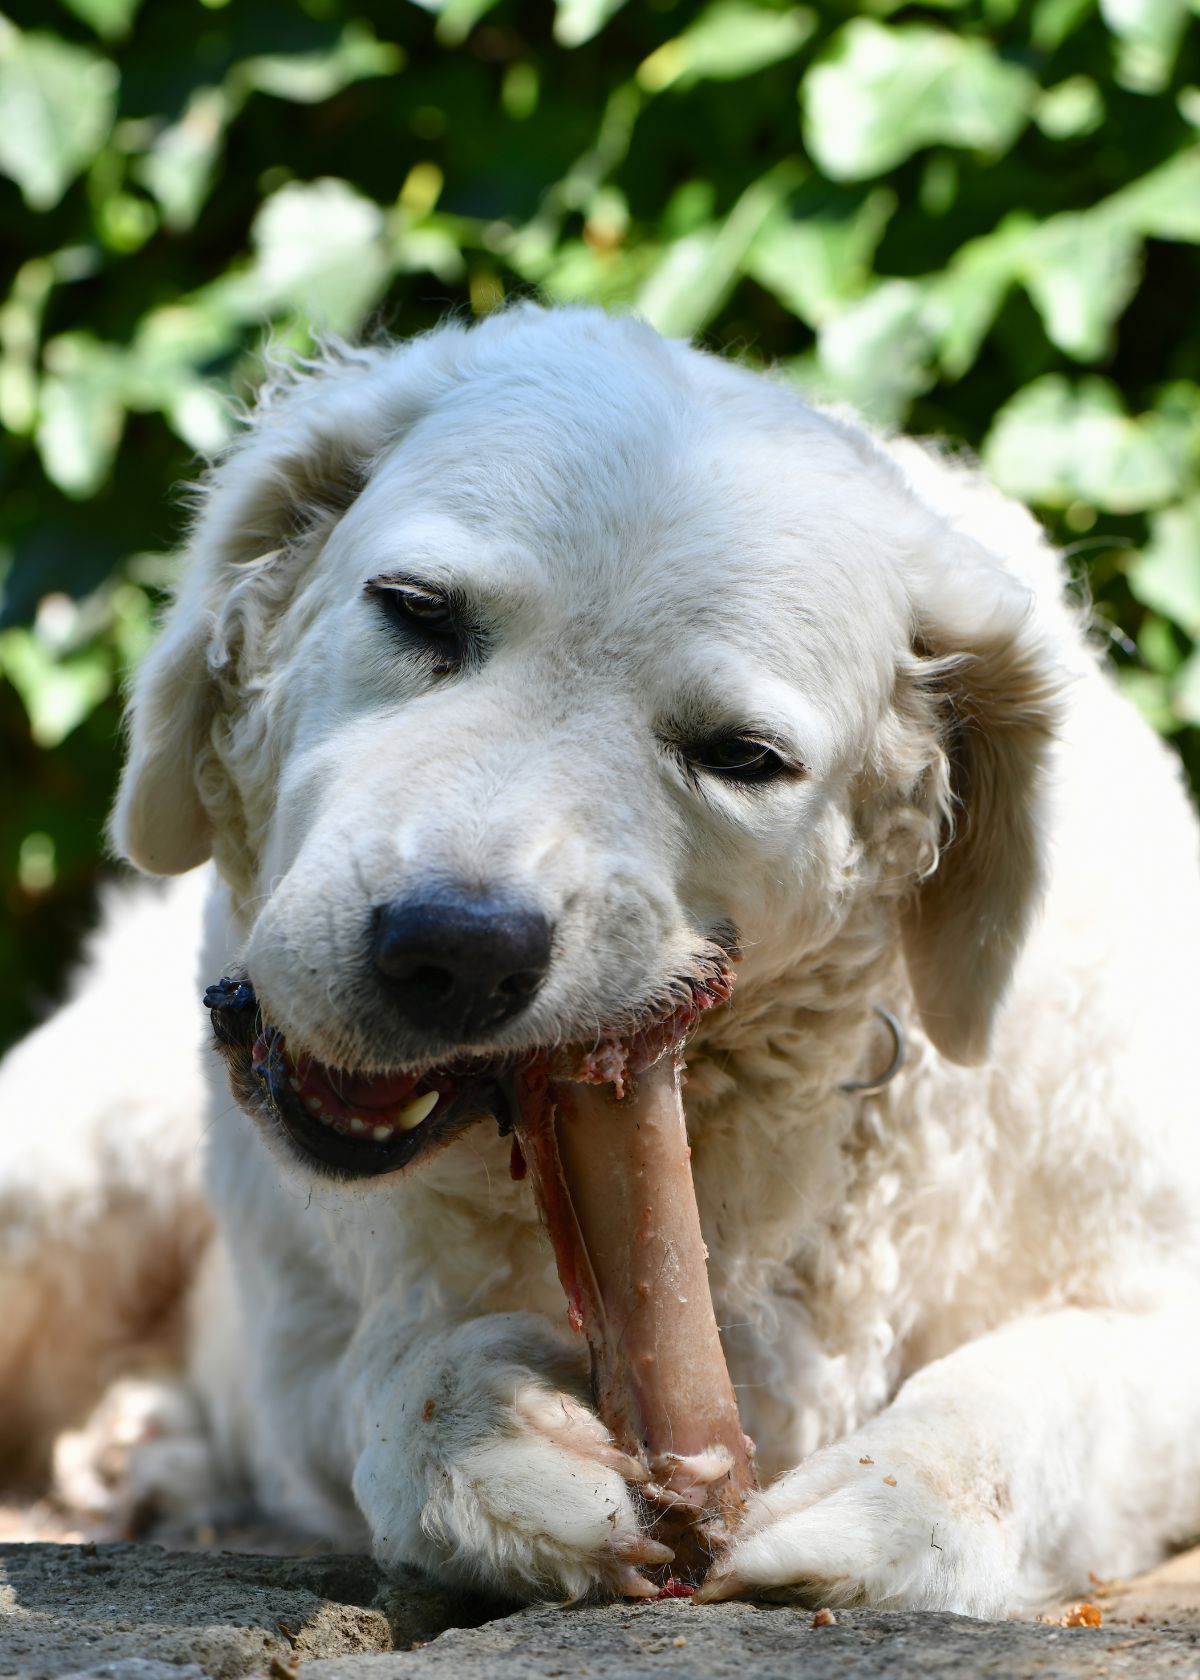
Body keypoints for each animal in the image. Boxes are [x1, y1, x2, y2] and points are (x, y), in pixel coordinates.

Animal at [2, 305, 1196, 1612]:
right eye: (417, 611)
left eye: (742, 757)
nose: (455, 949)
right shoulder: (297, 1343)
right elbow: (389, 1368)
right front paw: (489, 1442)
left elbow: (1037, 1390)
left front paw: (887, 1503)